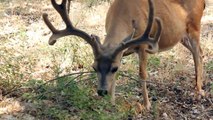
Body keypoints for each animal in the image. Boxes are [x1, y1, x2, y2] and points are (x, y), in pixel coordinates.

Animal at [42, 0, 206, 110]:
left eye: (113, 68)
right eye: (94, 67)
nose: (101, 91)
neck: (124, 13)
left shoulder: (144, 45)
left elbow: (142, 74)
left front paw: (147, 105)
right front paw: (112, 103)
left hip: (194, 26)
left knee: (198, 53)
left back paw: (198, 92)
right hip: (181, 35)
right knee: (199, 52)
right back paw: (198, 86)